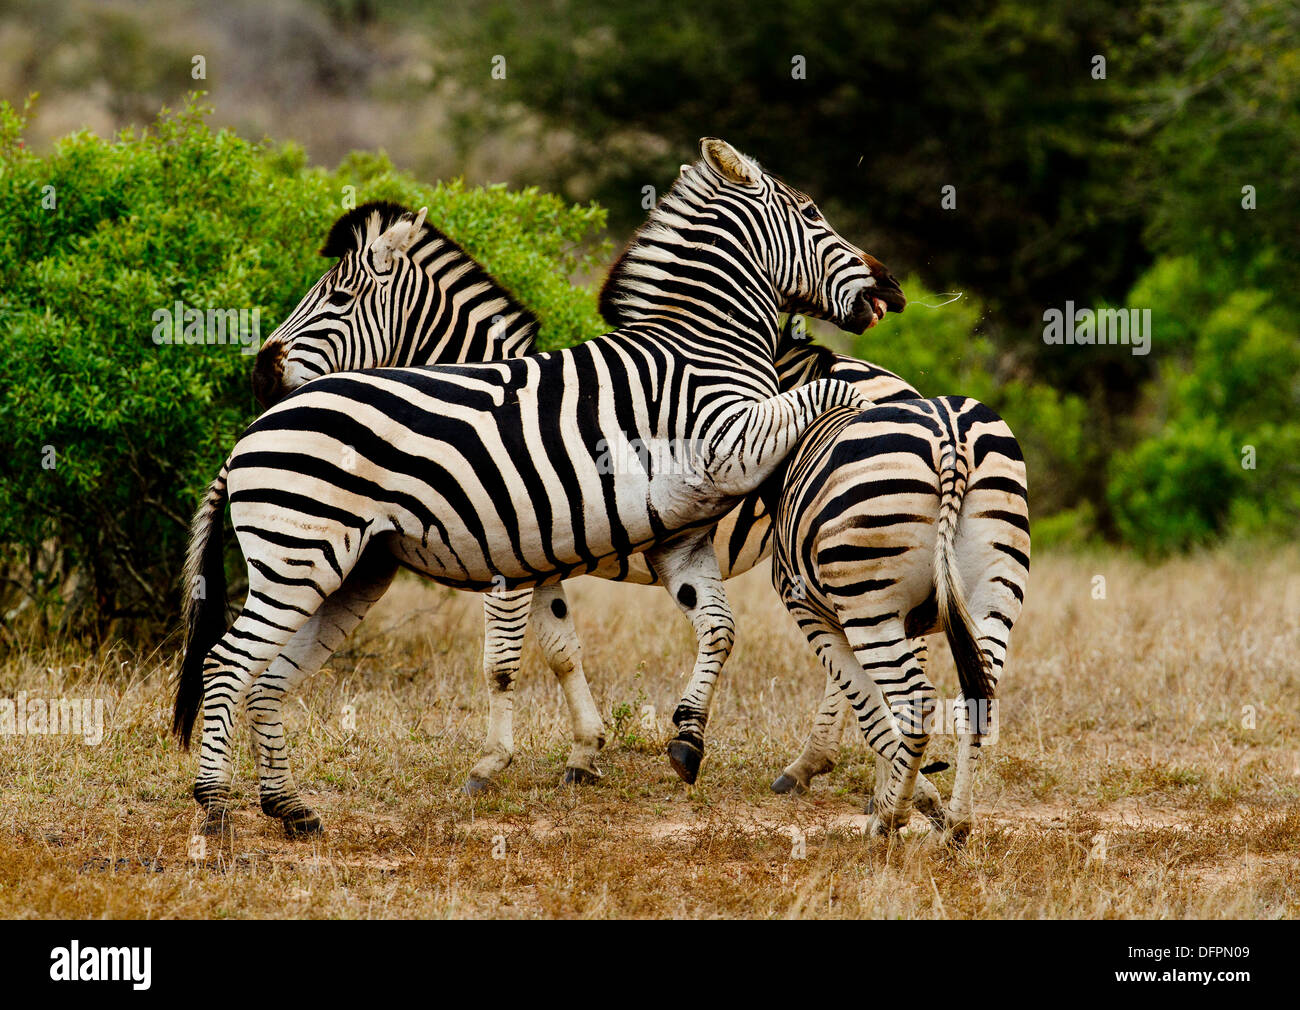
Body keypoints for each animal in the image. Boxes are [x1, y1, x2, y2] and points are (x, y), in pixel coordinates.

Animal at [172, 139, 904, 837]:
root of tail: (246, 439)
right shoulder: (544, 550)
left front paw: (567, 754)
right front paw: (554, 756)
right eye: (813, 213)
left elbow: (558, 651)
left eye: (338, 299)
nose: (892, 289)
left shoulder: (557, 548)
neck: (698, 347)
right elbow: (546, 654)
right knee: (232, 665)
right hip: (308, 559)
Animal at [764, 392, 1029, 837]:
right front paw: (903, 792)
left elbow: (871, 713)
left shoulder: (813, 612)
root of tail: (950, 436)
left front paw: (901, 802)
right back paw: (957, 825)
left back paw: (891, 821)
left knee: (918, 702)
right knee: (978, 699)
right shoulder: (903, 623)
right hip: (995, 591)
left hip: (868, 600)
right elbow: (876, 708)